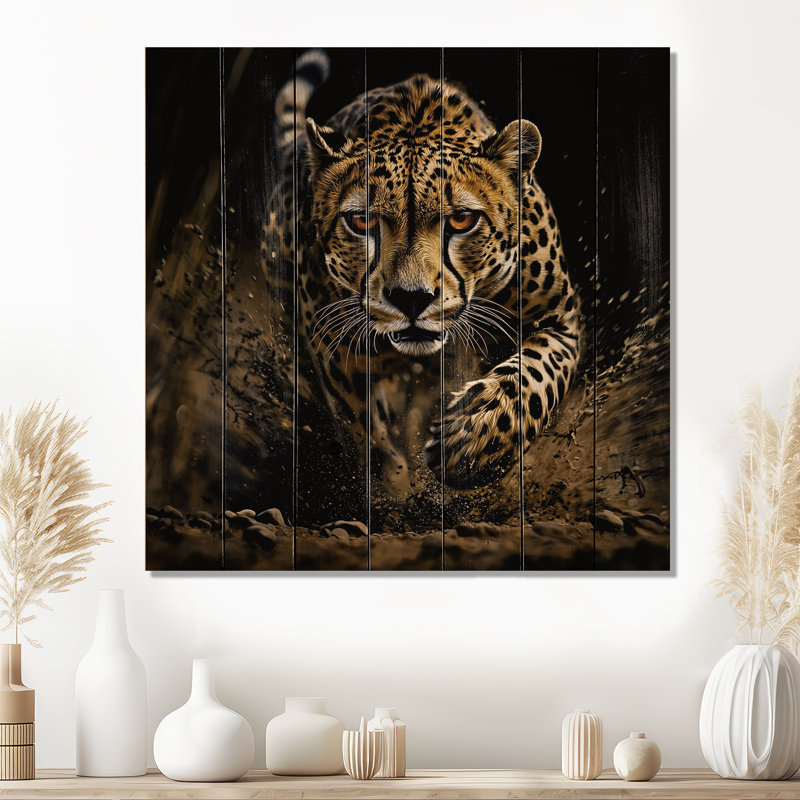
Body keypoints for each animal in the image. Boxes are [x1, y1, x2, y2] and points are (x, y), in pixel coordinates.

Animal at [266, 51, 581, 494]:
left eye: (462, 219)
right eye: (361, 221)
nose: (412, 299)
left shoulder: (559, 318)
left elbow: (533, 375)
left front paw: (474, 438)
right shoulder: (334, 346)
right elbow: (366, 430)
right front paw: (394, 488)